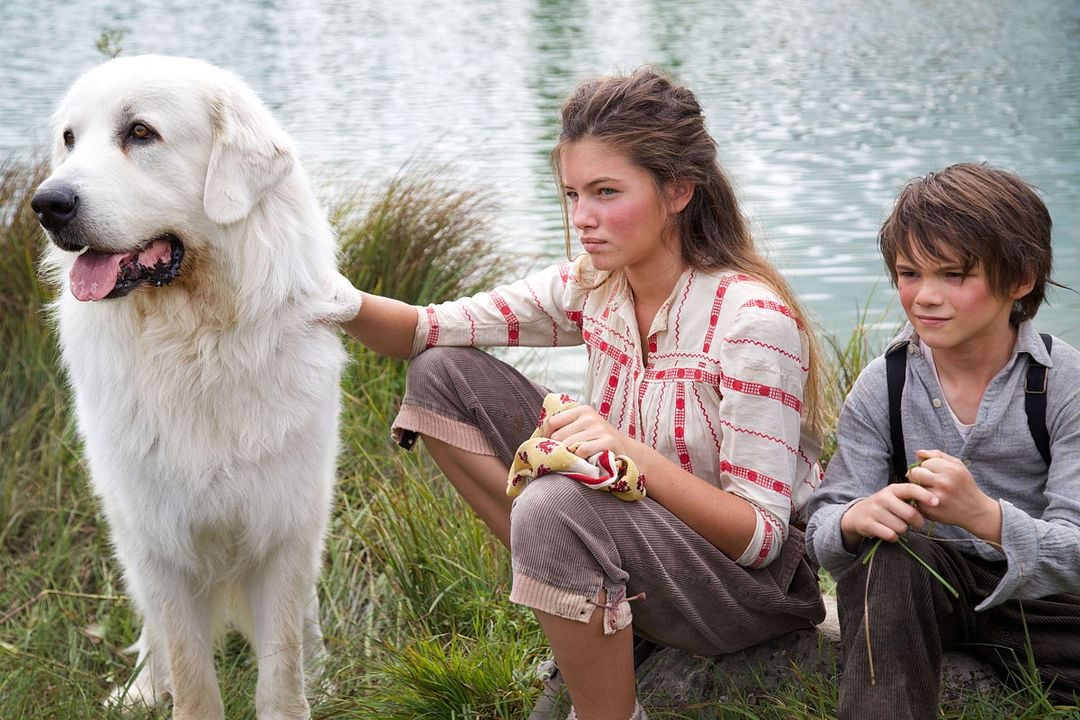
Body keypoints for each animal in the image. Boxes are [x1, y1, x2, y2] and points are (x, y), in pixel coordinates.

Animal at [29, 56, 356, 720]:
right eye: (70, 139)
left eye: (140, 133)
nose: (46, 203)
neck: (196, 345)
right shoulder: (158, 542)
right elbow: (190, 669)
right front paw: (168, 690)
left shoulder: (284, 528)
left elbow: (281, 665)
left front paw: (299, 694)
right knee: (155, 637)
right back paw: (141, 690)